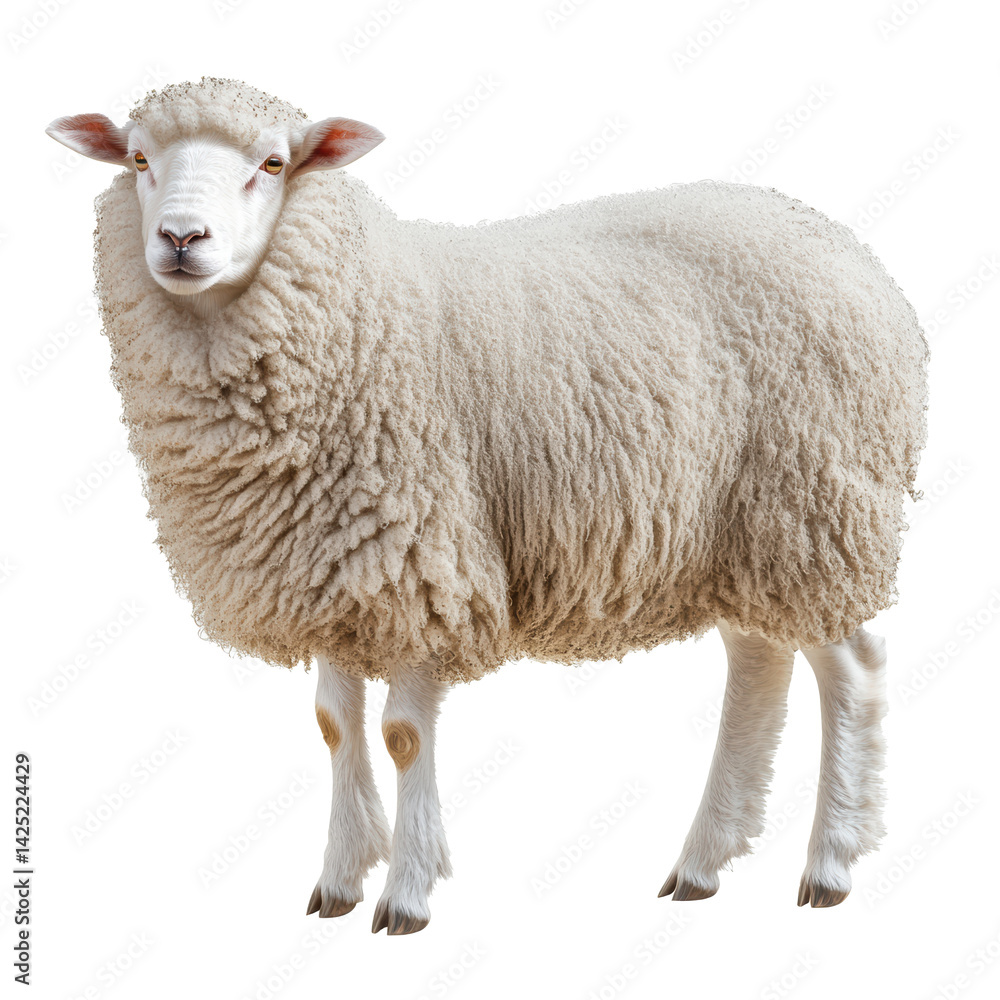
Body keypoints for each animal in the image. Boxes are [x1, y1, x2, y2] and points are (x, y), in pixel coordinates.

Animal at [47, 76, 928, 934]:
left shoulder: (417, 557)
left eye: (272, 163)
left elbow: (403, 736)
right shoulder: (332, 566)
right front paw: (338, 880)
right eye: (137, 159)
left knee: (851, 668)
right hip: (740, 531)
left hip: (815, 507)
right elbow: (333, 725)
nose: (180, 239)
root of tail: (849, 253)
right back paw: (702, 864)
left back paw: (831, 864)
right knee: (757, 660)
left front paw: (406, 892)